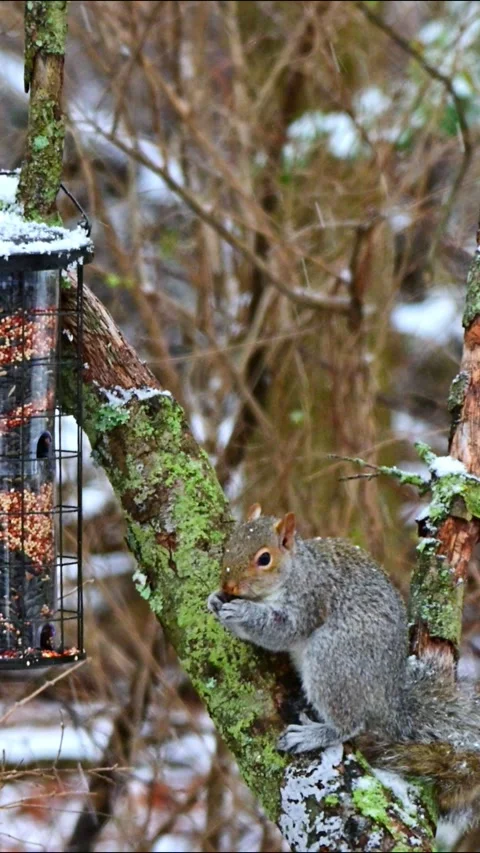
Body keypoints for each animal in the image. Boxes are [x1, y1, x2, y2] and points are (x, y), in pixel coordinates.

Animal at [207, 504, 480, 829]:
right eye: (229, 545)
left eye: (264, 558)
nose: (228, 585)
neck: (295, 571)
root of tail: (389, 702)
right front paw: (214, 600)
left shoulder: (310, 600)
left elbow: (282, 630)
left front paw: (242, 612)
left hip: (333, 660)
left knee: (350, 724)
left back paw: (312, 735)